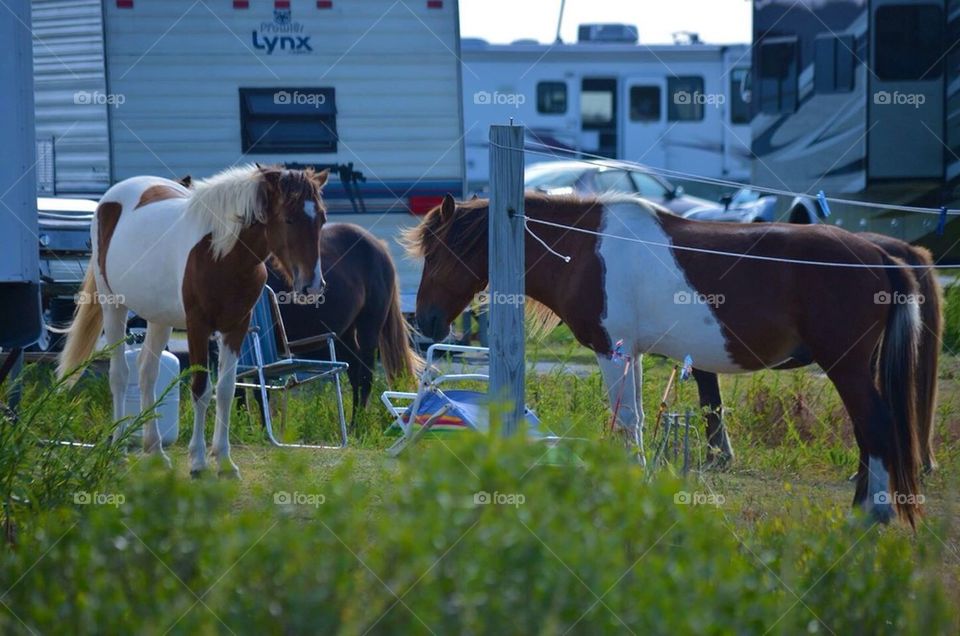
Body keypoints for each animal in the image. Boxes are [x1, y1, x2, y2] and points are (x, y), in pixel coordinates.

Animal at [61, 164, 330, 476]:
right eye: (288, 218)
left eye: (322, 218)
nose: (312, 286)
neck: (221, 254)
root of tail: (110, 199)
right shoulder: (198, 327)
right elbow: (201, 389)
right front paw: (199, 462)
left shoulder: (236, 327)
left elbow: (225, 390)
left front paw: (224, 461)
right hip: (113, 305)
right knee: (119, 375)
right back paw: (118, 450)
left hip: (159, 318)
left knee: (147, 373)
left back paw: (155, 450)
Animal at [268, 221, 422, 424]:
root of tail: (378, 245)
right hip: (344, 333)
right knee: (355, 372)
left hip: (369, 328)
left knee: (365, 375)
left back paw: (358, 424)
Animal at [408, 194, 928, 528]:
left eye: (438, 252)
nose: (425, 323)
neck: (584, 247)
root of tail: (880, 253)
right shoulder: (631, 354)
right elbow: (635, 422)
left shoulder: (611, 350)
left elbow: (626, 422)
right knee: (867, 431)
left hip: (847, 368)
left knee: (876, 426)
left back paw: (871, 515)